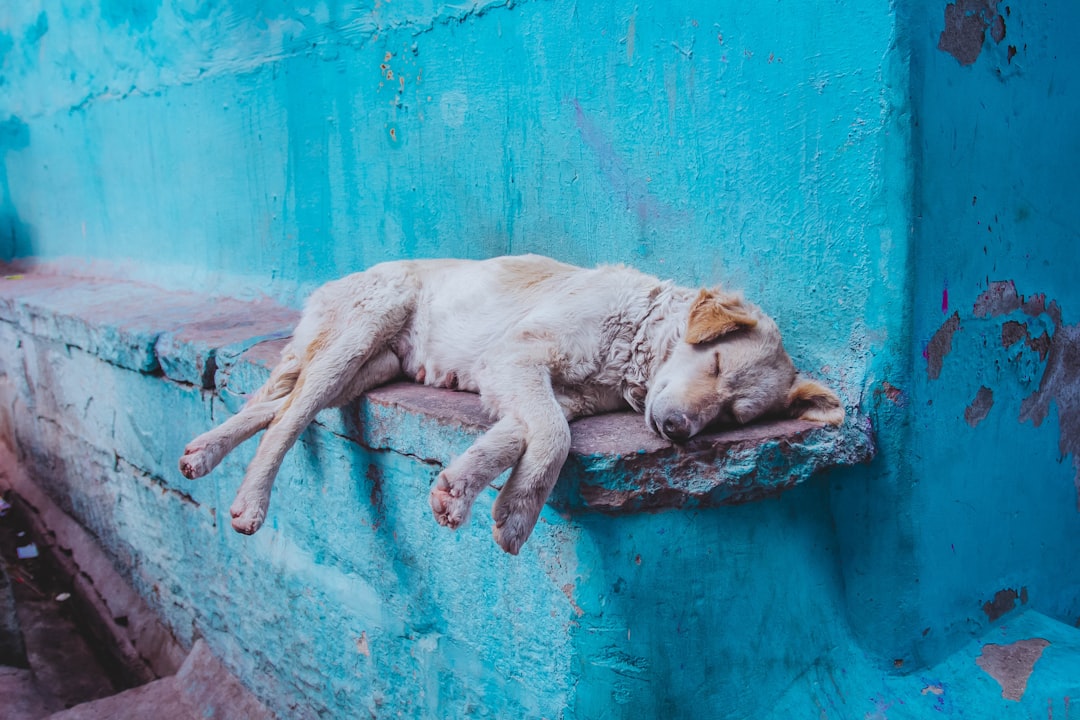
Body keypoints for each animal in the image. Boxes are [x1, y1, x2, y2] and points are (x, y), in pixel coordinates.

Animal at [179, 255, 842, 557]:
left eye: (734, 416)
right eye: (716, 364)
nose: (678, 431)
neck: (631, 344)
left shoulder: (542, 391)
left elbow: (523, 438)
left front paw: (462, 489)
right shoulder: (518, 358)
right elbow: (551, 440)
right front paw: (518, 515)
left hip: (370, 367)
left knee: (274, 406)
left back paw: (204, 451)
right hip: (362, 331)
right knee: (288, 417)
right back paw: (250, 500)